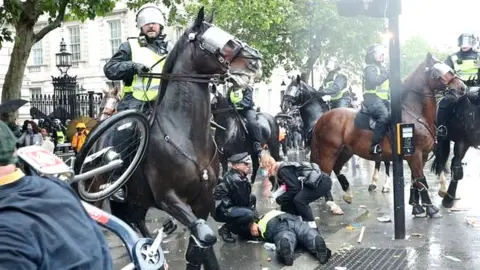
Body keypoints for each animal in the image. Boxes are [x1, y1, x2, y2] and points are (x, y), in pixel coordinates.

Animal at [310, 53, 466, 218]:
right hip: (329, 151)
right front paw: (430, 208)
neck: (414, 112)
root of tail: (322, 118)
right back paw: (333, 204)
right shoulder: (415, 155)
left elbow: (415, 180)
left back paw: (347, 194)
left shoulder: (421, 155)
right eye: (438, 72)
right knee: (326, 172)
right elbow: (421, 179)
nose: (462, 87)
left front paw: (417, 208)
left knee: (337, 168)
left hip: (346, 151)